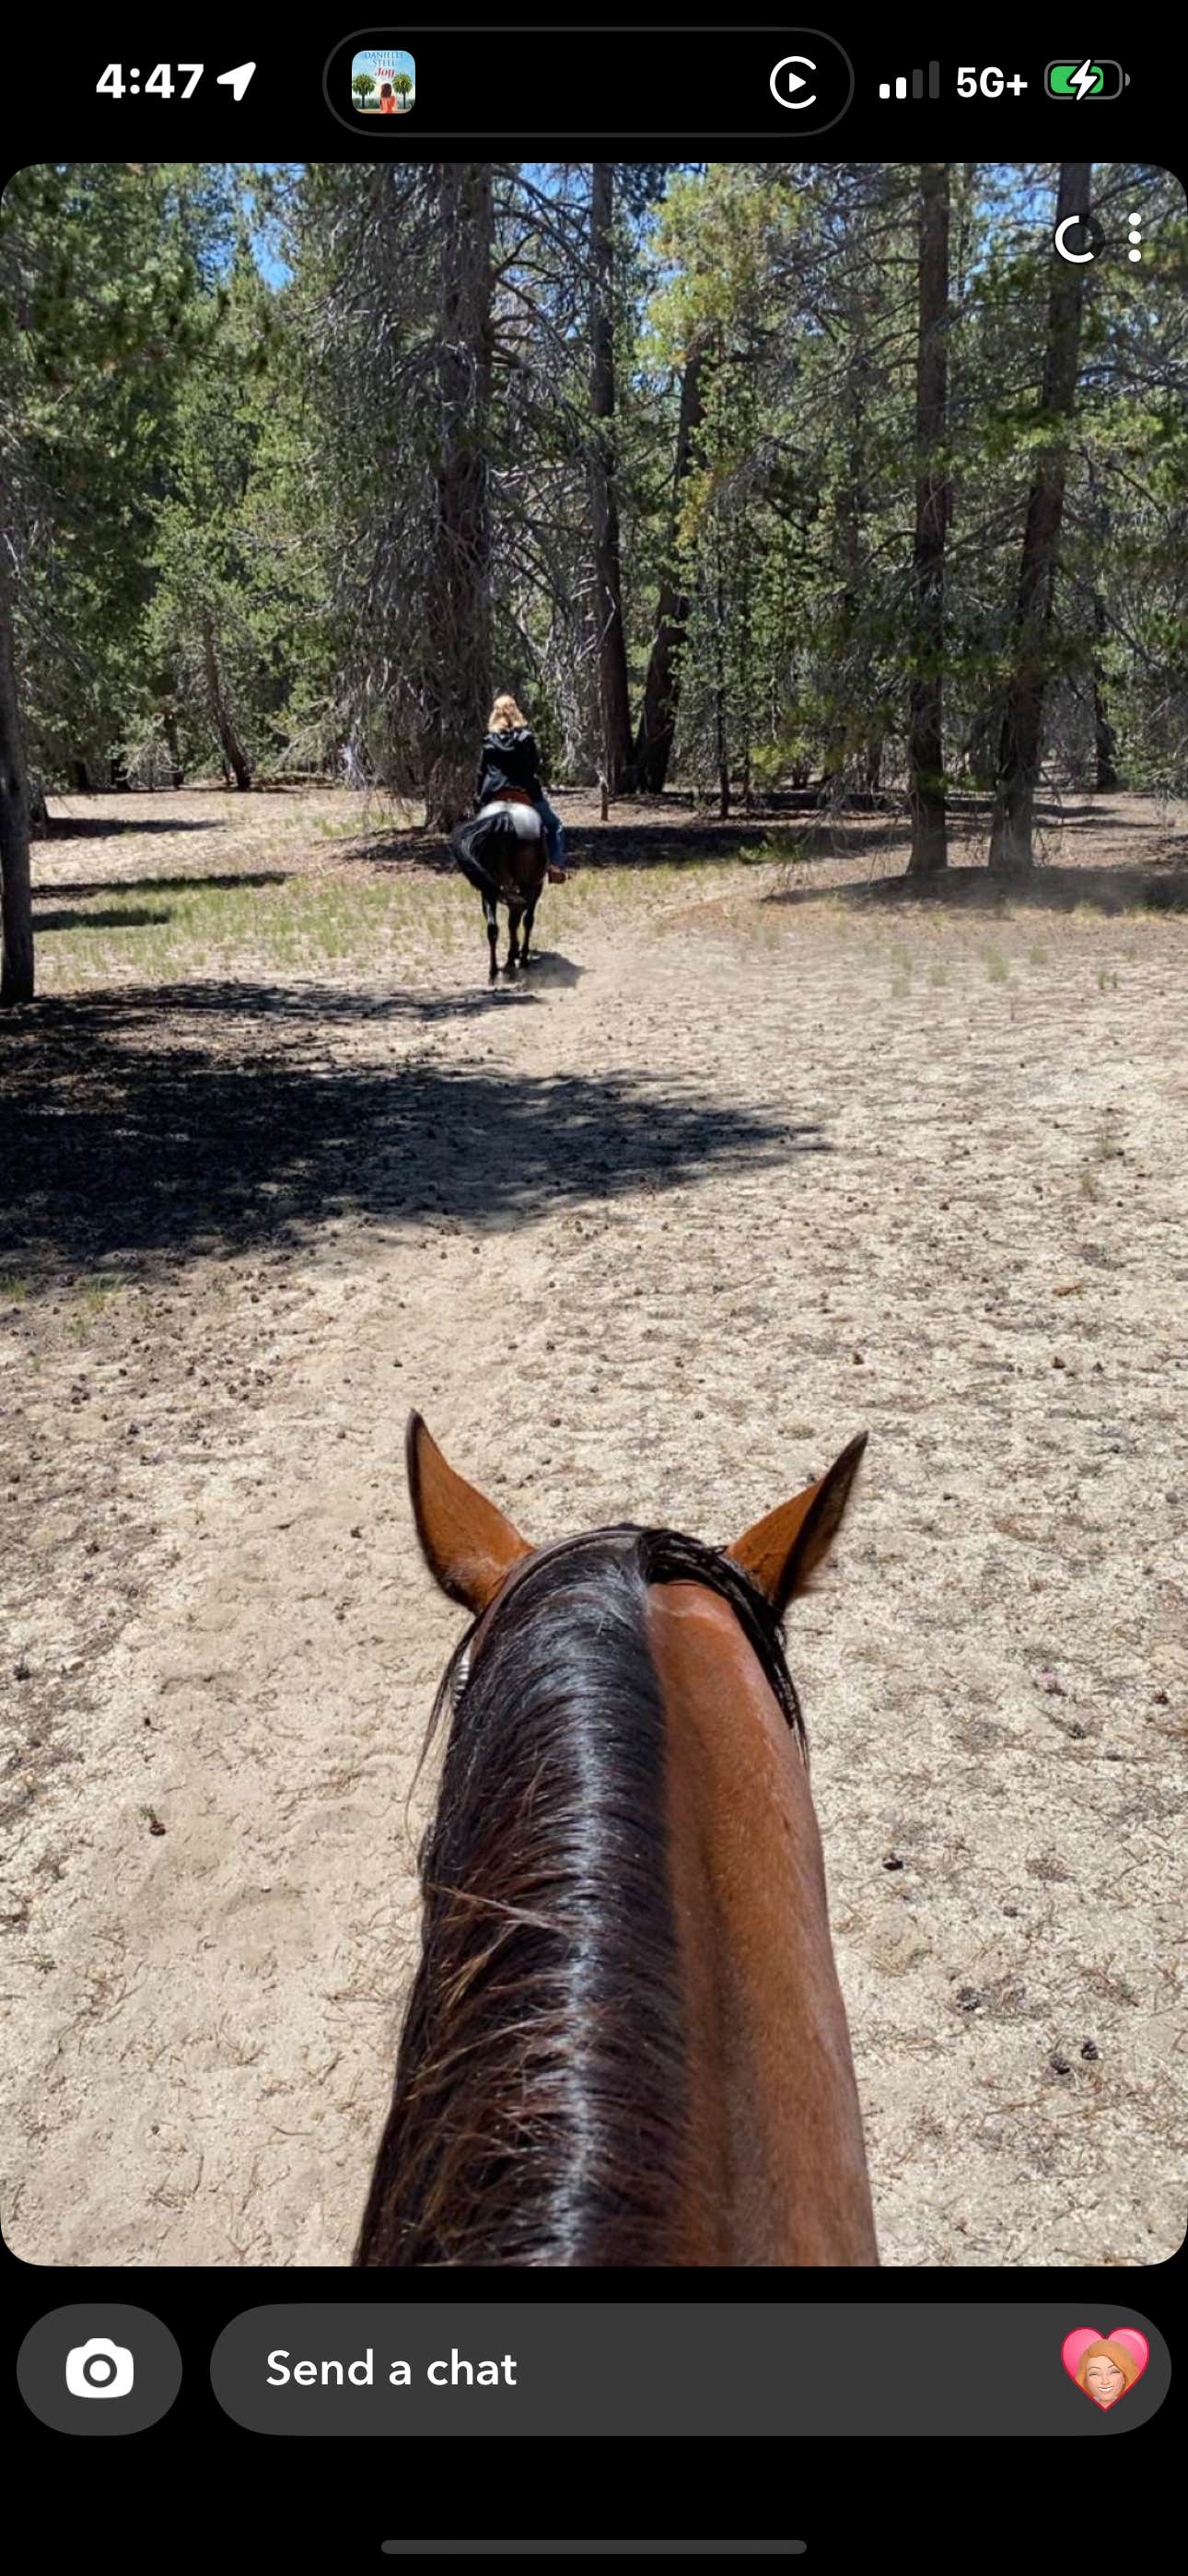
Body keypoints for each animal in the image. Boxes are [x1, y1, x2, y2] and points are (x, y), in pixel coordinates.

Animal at [450, 788, 554, 982]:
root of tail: (506, 817)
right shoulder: (536, 887)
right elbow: (527, 921)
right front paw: (521, 955)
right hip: (527, 886)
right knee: (517, 920)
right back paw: (515, 958)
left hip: (489, 890)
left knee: (493, 927)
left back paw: (494, 970)